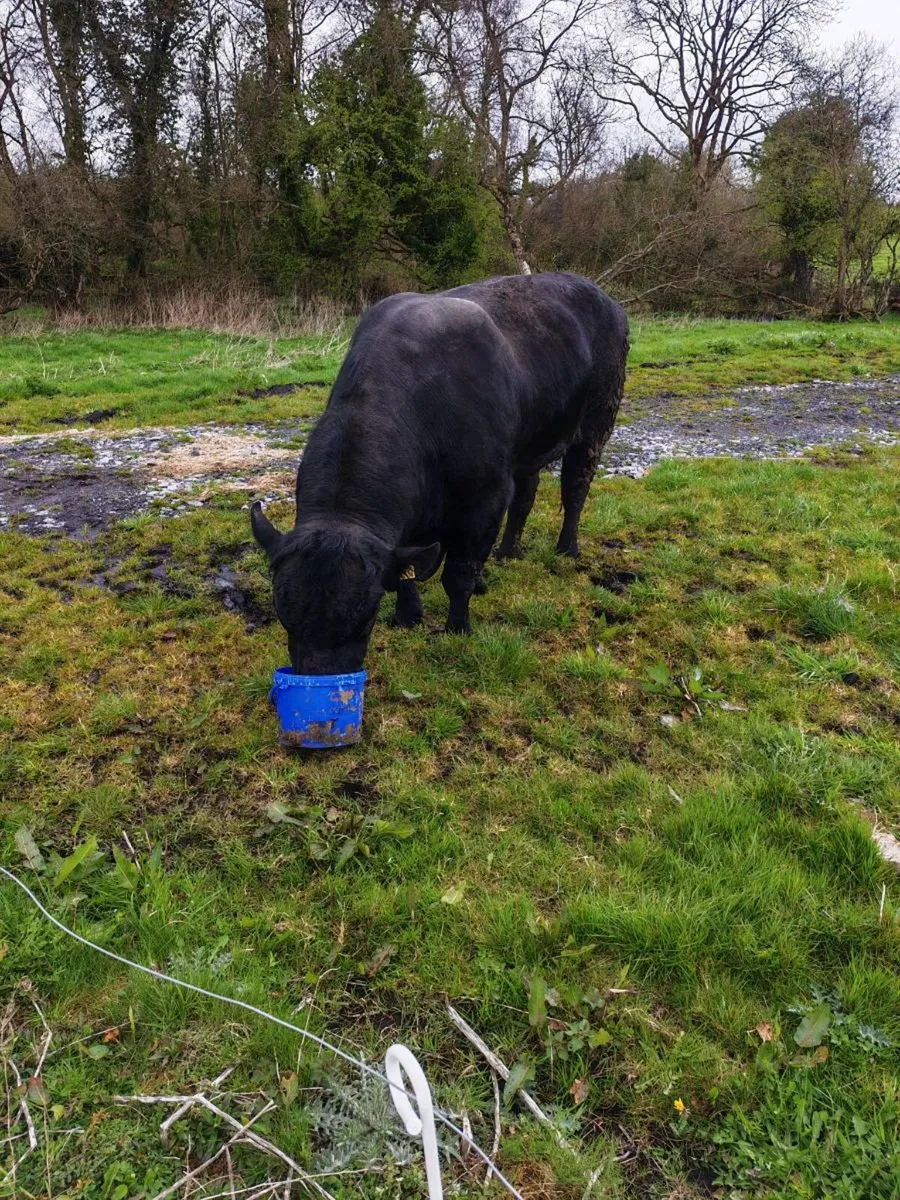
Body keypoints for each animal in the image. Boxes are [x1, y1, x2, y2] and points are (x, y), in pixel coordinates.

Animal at [251, 272, 628, 674]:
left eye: (366, 618)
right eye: (284, 618)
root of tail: (602, 296)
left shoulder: (485, 498)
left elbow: (457, 574)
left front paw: (457, 627)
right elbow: (407, 570)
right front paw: (409, 615)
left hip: (597, 422)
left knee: (575, 488)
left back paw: (566, 547)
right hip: (528, 447)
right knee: (526, 496)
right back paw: (507, 551)